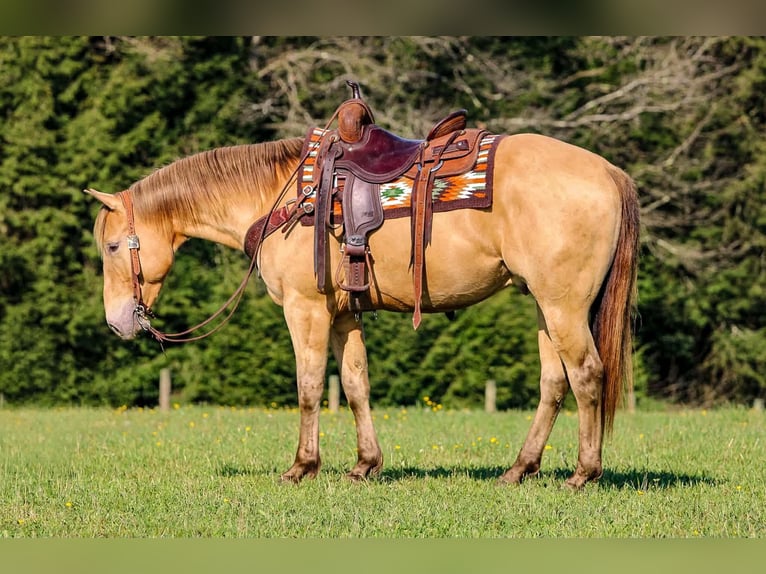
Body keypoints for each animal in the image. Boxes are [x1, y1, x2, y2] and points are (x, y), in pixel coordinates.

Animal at [86, 131, 639, 490]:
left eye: (112, 247)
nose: (117, 322)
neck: (280, 197)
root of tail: (607, 171)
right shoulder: (343, 315)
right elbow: (354, 385)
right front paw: (365, 464)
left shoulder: (306, 310)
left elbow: (310, 387)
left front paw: (302, 467)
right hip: (544, 306)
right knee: (555, 382)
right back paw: (520, 469)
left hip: (564, 307)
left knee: (587, 375)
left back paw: (583, 474)